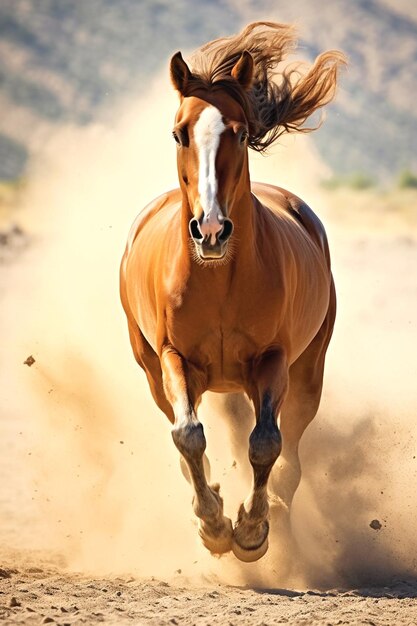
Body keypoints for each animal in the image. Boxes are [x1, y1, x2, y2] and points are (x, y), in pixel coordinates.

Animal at [120, 23, 344, 560]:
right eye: (178, 133)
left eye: (239, 132)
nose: (211, 231)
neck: (219, 280)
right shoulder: (174, 357)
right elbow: (188, 435)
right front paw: (214, 524)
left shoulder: (273, 361)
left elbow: (266, 442)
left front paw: (252, 531)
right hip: (154, 369)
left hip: (307, 371)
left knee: (292, 448)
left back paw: (278, 514)